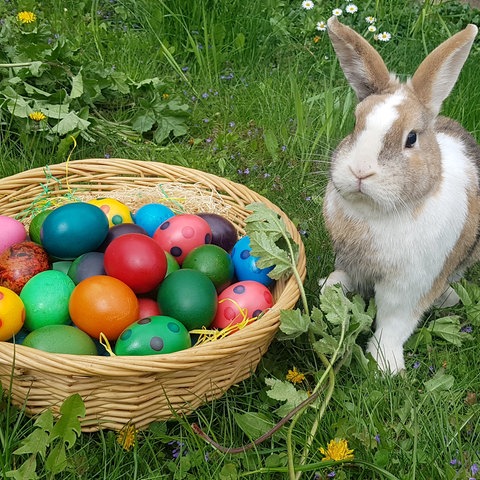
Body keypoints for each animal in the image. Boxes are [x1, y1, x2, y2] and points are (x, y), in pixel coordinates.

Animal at [320, 15, 478, 376]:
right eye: (355, 125)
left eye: (412, 138)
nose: (360, 171)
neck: (376, 213)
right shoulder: (349, 259)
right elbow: (343, 276)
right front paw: (327, 290)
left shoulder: (410, 286)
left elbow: (394, 323)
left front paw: (386, 366)